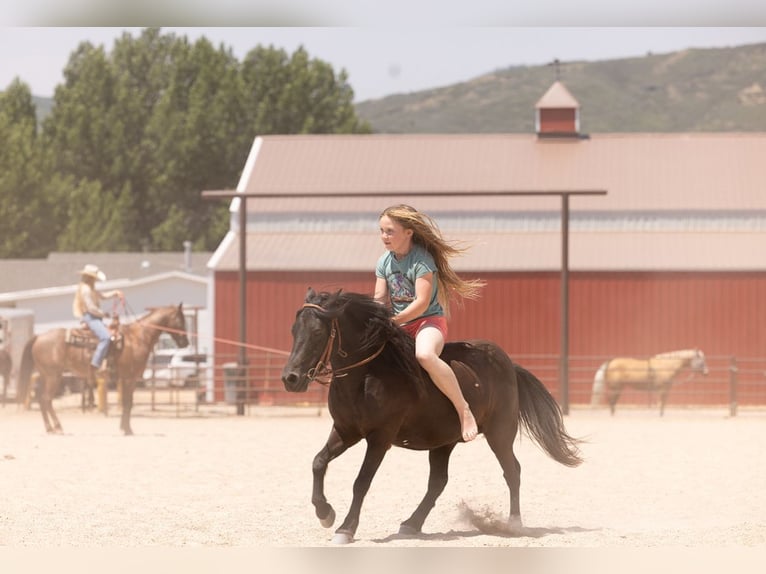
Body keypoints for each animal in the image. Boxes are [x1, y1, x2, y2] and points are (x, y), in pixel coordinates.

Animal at [18, 304, 189, 435]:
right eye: (181, 320)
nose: (186, 342)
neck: (138, 338)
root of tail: (39, 336)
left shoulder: (130, 379)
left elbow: (128, 402)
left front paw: (124, 428)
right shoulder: (129, 378)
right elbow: (128, 403)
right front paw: (127, 430)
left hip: (45, 376)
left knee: (41, 399)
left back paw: (50, 428)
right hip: (53, 376)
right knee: (47, 399)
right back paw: (58, 427)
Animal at [281, 288, 583, 544]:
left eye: (317, 332)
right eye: (294, 330)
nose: (290, 379)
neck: (366, 375)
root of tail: (508, 364)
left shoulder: (380, 438)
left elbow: (361, 482)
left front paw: (345, 528)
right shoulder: (346, 431)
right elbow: (318, 462)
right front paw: (325, 513)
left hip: (499, 434)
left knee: (512, 471)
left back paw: (514, 524)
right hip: (442, 442)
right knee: (438, 482)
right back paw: (411, 524)